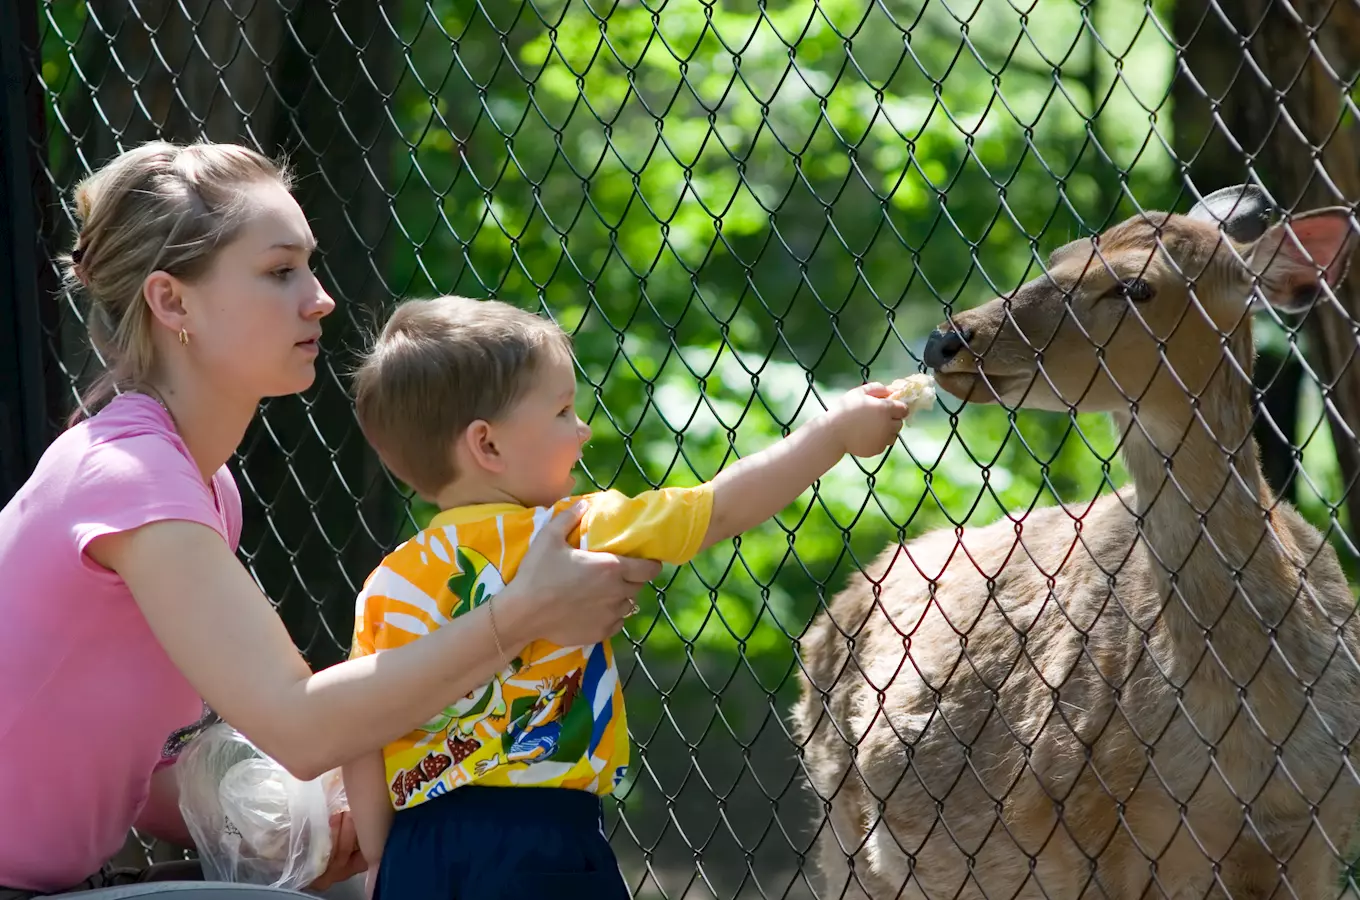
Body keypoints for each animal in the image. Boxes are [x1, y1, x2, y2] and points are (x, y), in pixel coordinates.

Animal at [794, 186, 1360, 897]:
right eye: (1059, 253)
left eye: (1136, 286)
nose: (947, 338)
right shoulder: (1093, 837)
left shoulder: (1321, 837)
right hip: (842, 839)